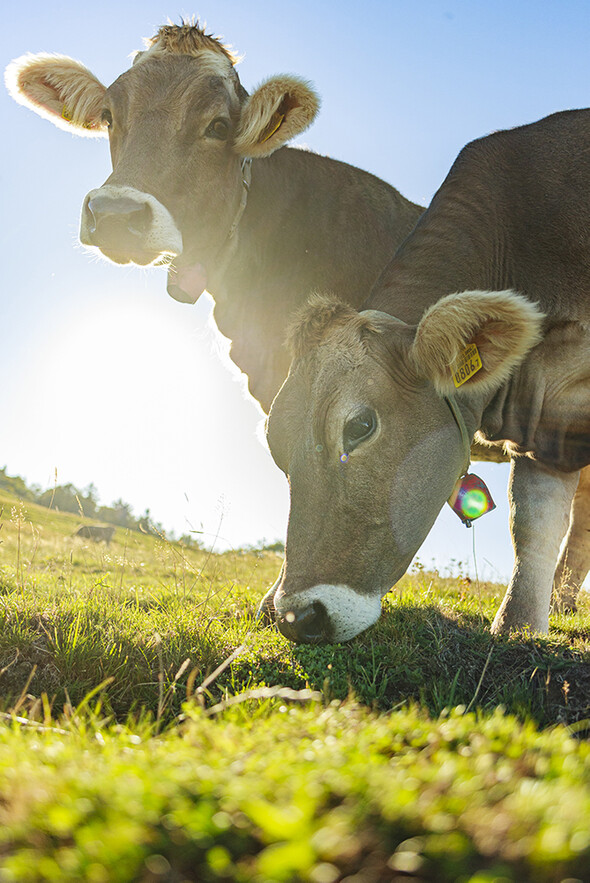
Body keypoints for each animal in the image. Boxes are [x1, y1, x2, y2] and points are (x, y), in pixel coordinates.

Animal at [266, 112, 590, 648]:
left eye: (359, 427)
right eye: (273, 444)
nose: (299, 616)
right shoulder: (544, 418)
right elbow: (532, 522)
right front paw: (519, 627)